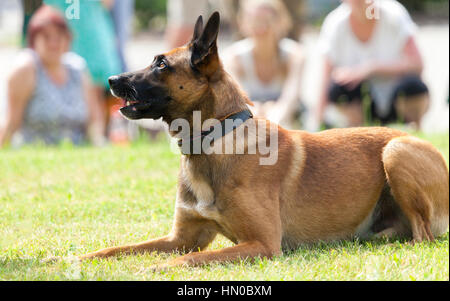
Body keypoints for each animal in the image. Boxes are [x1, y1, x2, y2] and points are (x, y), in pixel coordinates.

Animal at [79, 12, 448, 268]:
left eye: (161, 64)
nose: (111, 79)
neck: (216, 139)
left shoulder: (262, 244)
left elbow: (187, 259)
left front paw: (154, 269)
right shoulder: (180, 237)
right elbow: (118, 249)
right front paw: (75, 260)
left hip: (396, 151)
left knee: (423, 237)